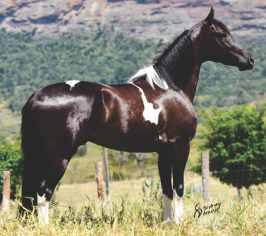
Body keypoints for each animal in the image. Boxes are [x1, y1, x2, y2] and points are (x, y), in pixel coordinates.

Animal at [19, 8, 254, 224]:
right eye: (221, 34)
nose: (249, 59)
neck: (169, 88)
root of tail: (36, 97)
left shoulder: (163, 151)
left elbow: (166, 189)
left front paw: (168, 223)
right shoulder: (181, 145)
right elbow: (179, 187)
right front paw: (179, 223)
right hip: (59, 156)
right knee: (43, 194)